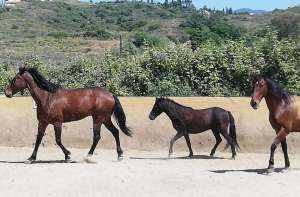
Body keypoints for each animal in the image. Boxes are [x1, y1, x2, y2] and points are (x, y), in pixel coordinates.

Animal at [4, 67, 132, 163]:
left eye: (15, 79)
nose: (7, 93)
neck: (47, 98)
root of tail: (110, 94)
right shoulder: (43, 122)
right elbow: (38, 139)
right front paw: (31, 158)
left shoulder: (57, 122)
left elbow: (58, 140)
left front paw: (68, 155)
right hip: (105, 119)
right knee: (115, 132)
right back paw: (120, 155)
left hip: (98, 119)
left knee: (97, 136)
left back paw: (88, 156)